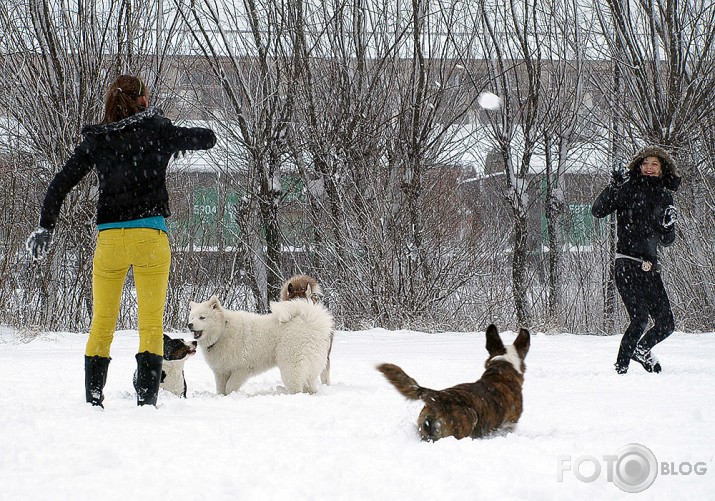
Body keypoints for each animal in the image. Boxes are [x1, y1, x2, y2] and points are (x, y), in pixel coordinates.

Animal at [190, 292, 336, 394]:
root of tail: (311, 322)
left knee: (297, 387)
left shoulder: (242, 368)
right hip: (311, 366)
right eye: (192, 317)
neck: (223, 331)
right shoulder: (221, 370)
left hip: (291, 364)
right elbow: (221, 388)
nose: (189, 325)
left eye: (202, 317)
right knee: (310, 386)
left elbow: (230, 386)